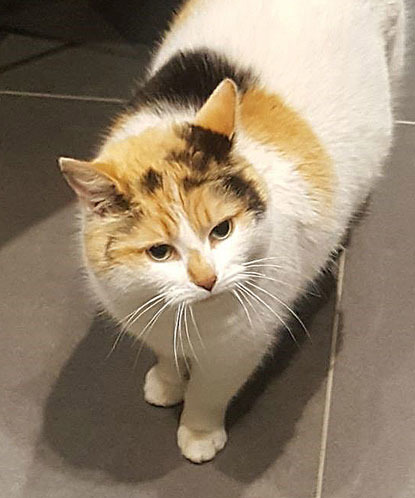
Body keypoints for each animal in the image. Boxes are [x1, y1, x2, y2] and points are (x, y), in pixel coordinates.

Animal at [58, 0, 406, 464]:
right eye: (159, 252)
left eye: (222, 230)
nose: (207, 279)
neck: (186, 316)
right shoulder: (148, 319)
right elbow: (166, 354)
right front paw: (166, 383)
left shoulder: (240, 346)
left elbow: (209, 392)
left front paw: (198, 435)